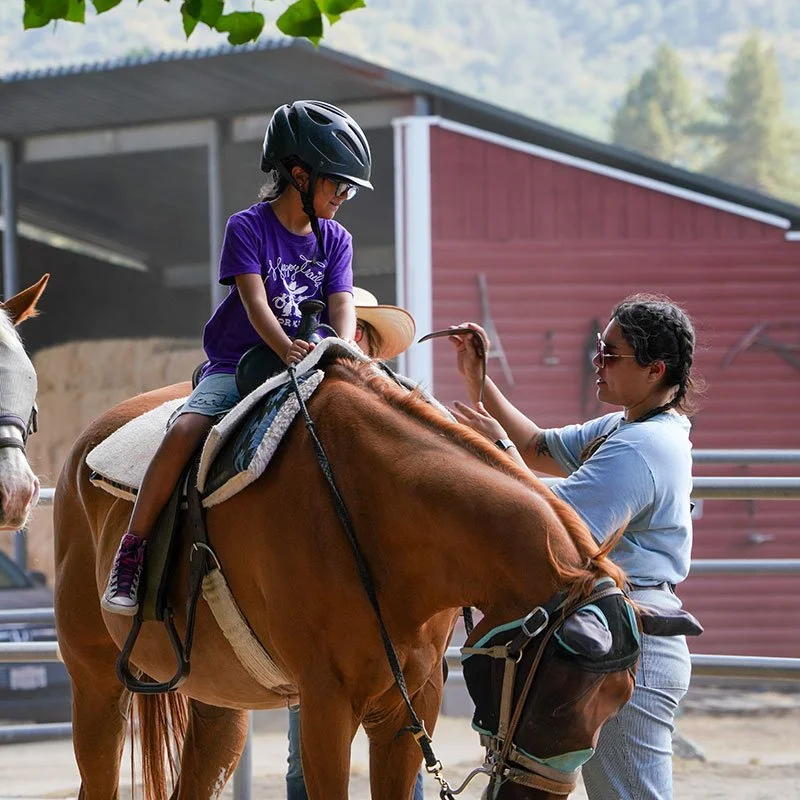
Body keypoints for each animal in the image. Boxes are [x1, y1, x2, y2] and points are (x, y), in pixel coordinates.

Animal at [53, 352, 636, 800]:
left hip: (218, 705)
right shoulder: (325, 705)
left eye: (619, 700)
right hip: (96, 682)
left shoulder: (411, 703)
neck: (374, 505)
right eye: (558, 697)